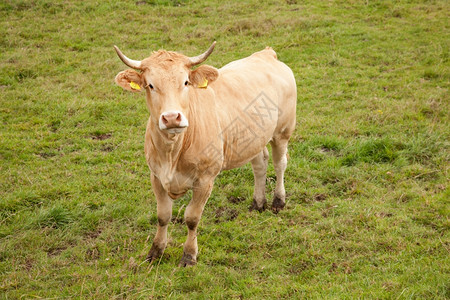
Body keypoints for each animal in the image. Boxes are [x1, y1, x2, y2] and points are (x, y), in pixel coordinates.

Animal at [113, 41, 296, 266]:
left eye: (185, 82)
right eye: (150, 85)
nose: (171, 118)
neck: (173, 152)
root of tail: (266, 54)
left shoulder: (205, 180)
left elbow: (192, 218)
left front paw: (189, 255)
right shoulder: (156, 176)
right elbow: (163, 215)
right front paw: (156, 251)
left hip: (283, 131)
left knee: (280, 164)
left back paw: (278, 201)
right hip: (254, 137)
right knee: (260, 165)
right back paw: (258, 203)